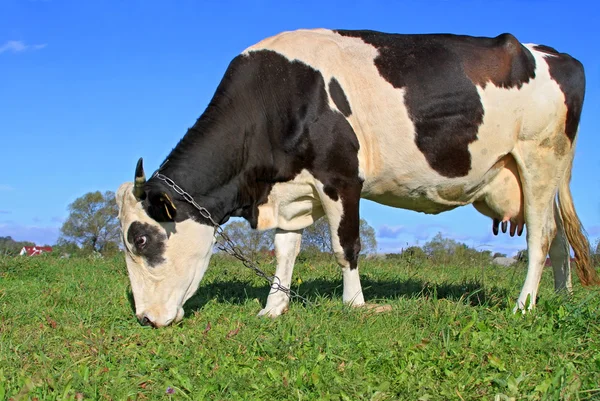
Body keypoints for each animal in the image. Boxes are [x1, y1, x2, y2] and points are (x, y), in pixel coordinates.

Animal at [115, 28, 596, 328]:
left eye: (141, 239)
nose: (144, 318)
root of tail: (551, 53)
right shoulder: (293, 191)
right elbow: (285, 251)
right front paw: (273, 309)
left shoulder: (341, 176)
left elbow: (344, 245)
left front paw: (355, 304)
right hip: (542, 174)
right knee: (557, 237)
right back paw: (560, 299)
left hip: (539, 157)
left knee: (539, 238)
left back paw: (524, 305)